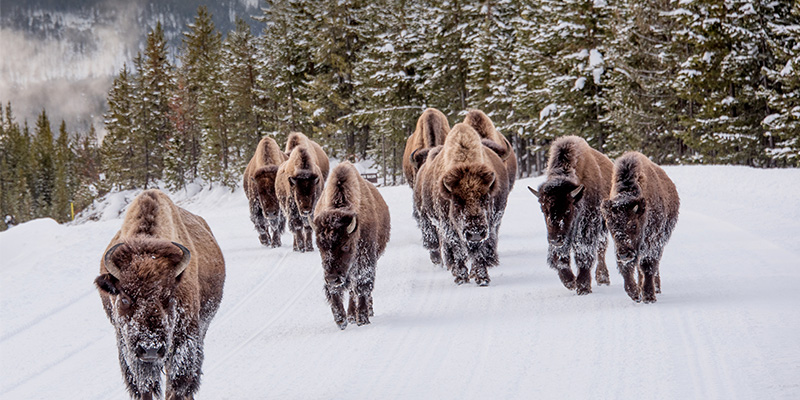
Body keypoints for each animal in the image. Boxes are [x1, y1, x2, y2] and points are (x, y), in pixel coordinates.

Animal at [94, 190, 225, 400]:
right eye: (124, 298)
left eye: (169, 297)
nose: (151, 348)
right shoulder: (129, 349)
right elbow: (145, 387)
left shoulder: (185, 340)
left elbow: (178, 385)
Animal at [312, 161, 390, 330]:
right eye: (320, 247)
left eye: (346, 246)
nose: (332, 278)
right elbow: (336, 291)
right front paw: (341, 320)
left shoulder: (364, 261)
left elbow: (362, 286)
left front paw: (362, 319)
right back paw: (351, 316)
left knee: (358, 290)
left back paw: (364, 313)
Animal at [416, 122, 510, 284]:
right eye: (456, 202)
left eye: (486, 199)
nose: (475, 233)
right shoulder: (448, 226)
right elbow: (457, 248)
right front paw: (461, 277)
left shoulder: (487, 226)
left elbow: (479, 251)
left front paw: (481, 277)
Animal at [532, 136, 612, 296]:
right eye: (543, 210)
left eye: (568, 210)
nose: (555, 240)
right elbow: (559, 258)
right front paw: (570, 282)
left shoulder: (586, 227)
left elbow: (584, 253)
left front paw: (582, 287)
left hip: (603, 226)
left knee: (601, 249)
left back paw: (603, 279)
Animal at [604, 152, 680, 302]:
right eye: (610, 225)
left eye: (633, 225)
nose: (624, 254)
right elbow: (627, 268)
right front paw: (635, 294)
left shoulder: (653, 241)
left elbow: (648, 265)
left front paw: (649, 296)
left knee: (653, 266)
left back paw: (656, 289)